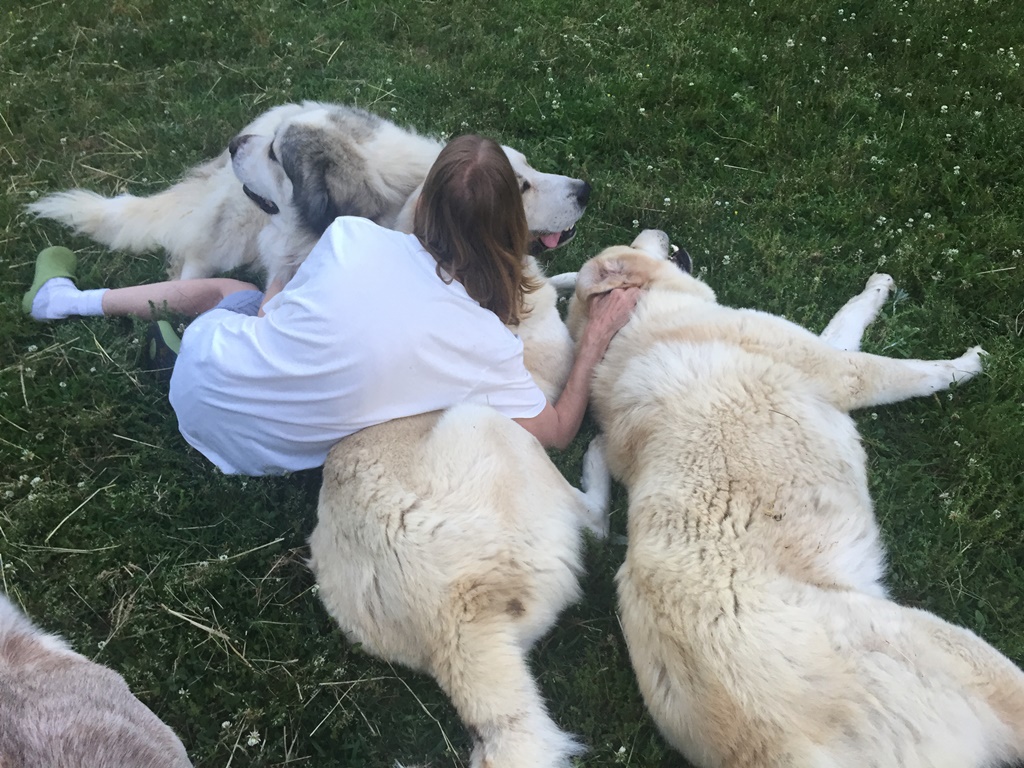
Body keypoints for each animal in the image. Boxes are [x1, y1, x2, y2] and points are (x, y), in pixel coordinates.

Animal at [569, 231, 1024, 768]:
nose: (657, 232)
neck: (632, 325)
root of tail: (782, 749)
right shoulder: (844, 371)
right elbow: (916, 371)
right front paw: (968, 364)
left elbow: (848, 315)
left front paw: (876, 288)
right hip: (944, 645)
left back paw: (595, 460)